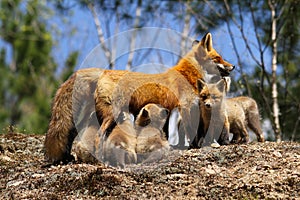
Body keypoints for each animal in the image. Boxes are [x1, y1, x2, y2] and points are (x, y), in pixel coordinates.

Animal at [45, 32, 237, 164]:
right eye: (218, 58)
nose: (233, 66)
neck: (186, 74)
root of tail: (103, 72)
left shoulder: (168, 111)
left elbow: (167, 134)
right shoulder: (186, 106)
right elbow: (191, 131)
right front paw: (194, 146)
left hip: (92, 116)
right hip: (111, 114)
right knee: (98, 136)